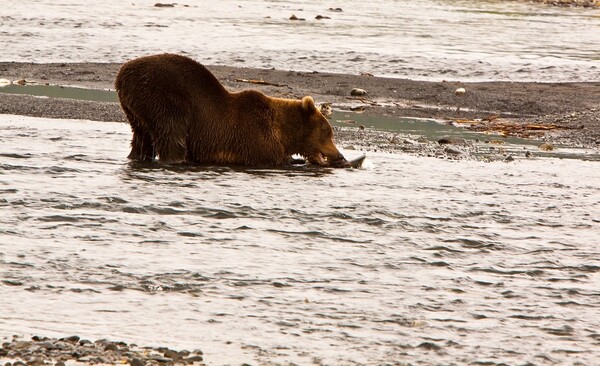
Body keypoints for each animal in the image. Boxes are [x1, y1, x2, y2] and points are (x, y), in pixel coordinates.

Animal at [115, 53, 350, 167]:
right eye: (328, 133)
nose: (340, 155)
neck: (283, 132)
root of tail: (122, 74)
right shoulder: (255, 137)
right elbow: (271, 157)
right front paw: (296, 160)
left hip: (136, 109)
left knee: (141, 138)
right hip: (164, 98)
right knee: (172, 135)